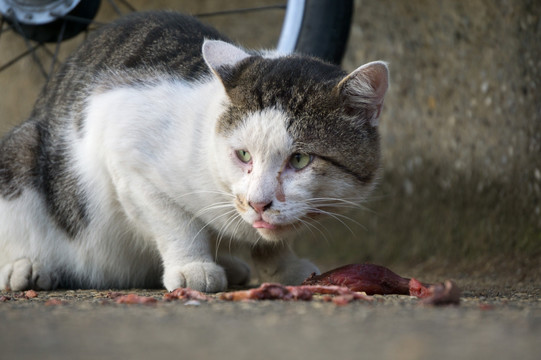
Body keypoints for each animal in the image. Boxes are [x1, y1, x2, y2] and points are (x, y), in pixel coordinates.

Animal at [0, 11, 388, 292]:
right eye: (243, 155)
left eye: (300, 160)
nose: (259, 203)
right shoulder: (124, 151)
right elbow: (174, 222)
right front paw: (193, 267)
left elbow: (270, 239)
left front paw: (284, 266)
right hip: (22, 149)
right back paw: (25, 266)